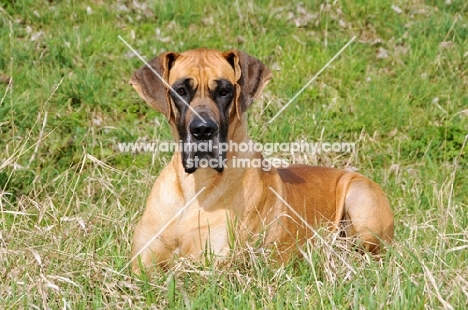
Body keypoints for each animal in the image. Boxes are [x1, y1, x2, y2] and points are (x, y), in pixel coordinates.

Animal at [129, 47, 394, 272]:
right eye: (181, 91)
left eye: (224, 91)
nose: (203, 130)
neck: (192, 189)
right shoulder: (142, 267)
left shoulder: (212, 266)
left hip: (360, 195)